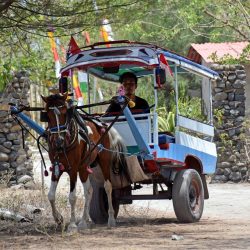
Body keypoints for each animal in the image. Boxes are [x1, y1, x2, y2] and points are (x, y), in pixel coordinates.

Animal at [41, 94, 129, 232]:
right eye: (48, 116)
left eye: (65, 113)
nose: (59, 141)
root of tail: (102, 124)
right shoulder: (57, 168)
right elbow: (50, 195)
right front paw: (59, 219)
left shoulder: (72, 169)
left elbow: (72, 197)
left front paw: (72, 224)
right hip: (83, 168)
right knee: (89, 190)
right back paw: (84, 221)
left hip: (104, 161)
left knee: (108, 186)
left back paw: (110, 219)